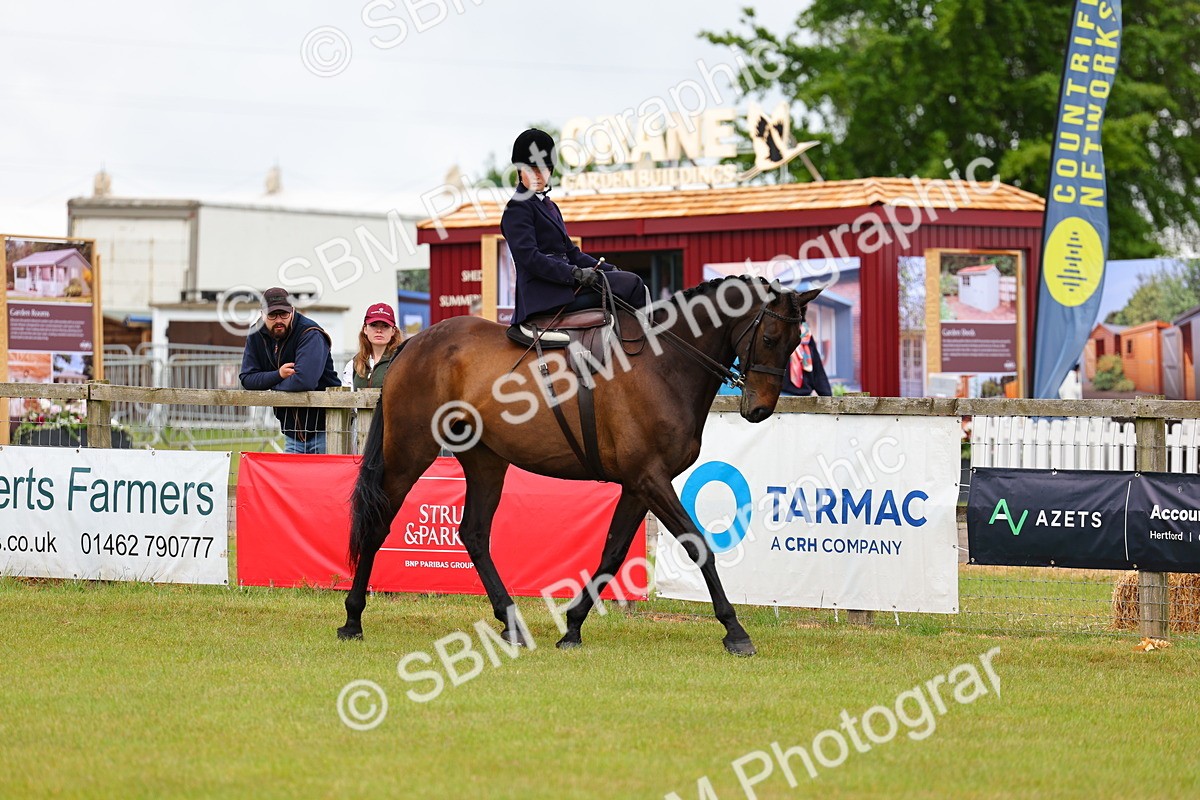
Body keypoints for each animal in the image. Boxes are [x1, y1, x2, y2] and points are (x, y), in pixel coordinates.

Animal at [339, 275, 821, 656]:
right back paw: (353, 619)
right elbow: (697, 545)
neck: (664, 363)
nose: (759, 410)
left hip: (486, 460)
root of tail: (412, 344)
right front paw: (735, 631)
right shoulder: (651, 479)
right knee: (379, 524)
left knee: (474, 533)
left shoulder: (640, 484)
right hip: (410, 451)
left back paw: (510, 622)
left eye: (797, 344)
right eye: (770, 339)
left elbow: (612, 551)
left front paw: (572, 627)